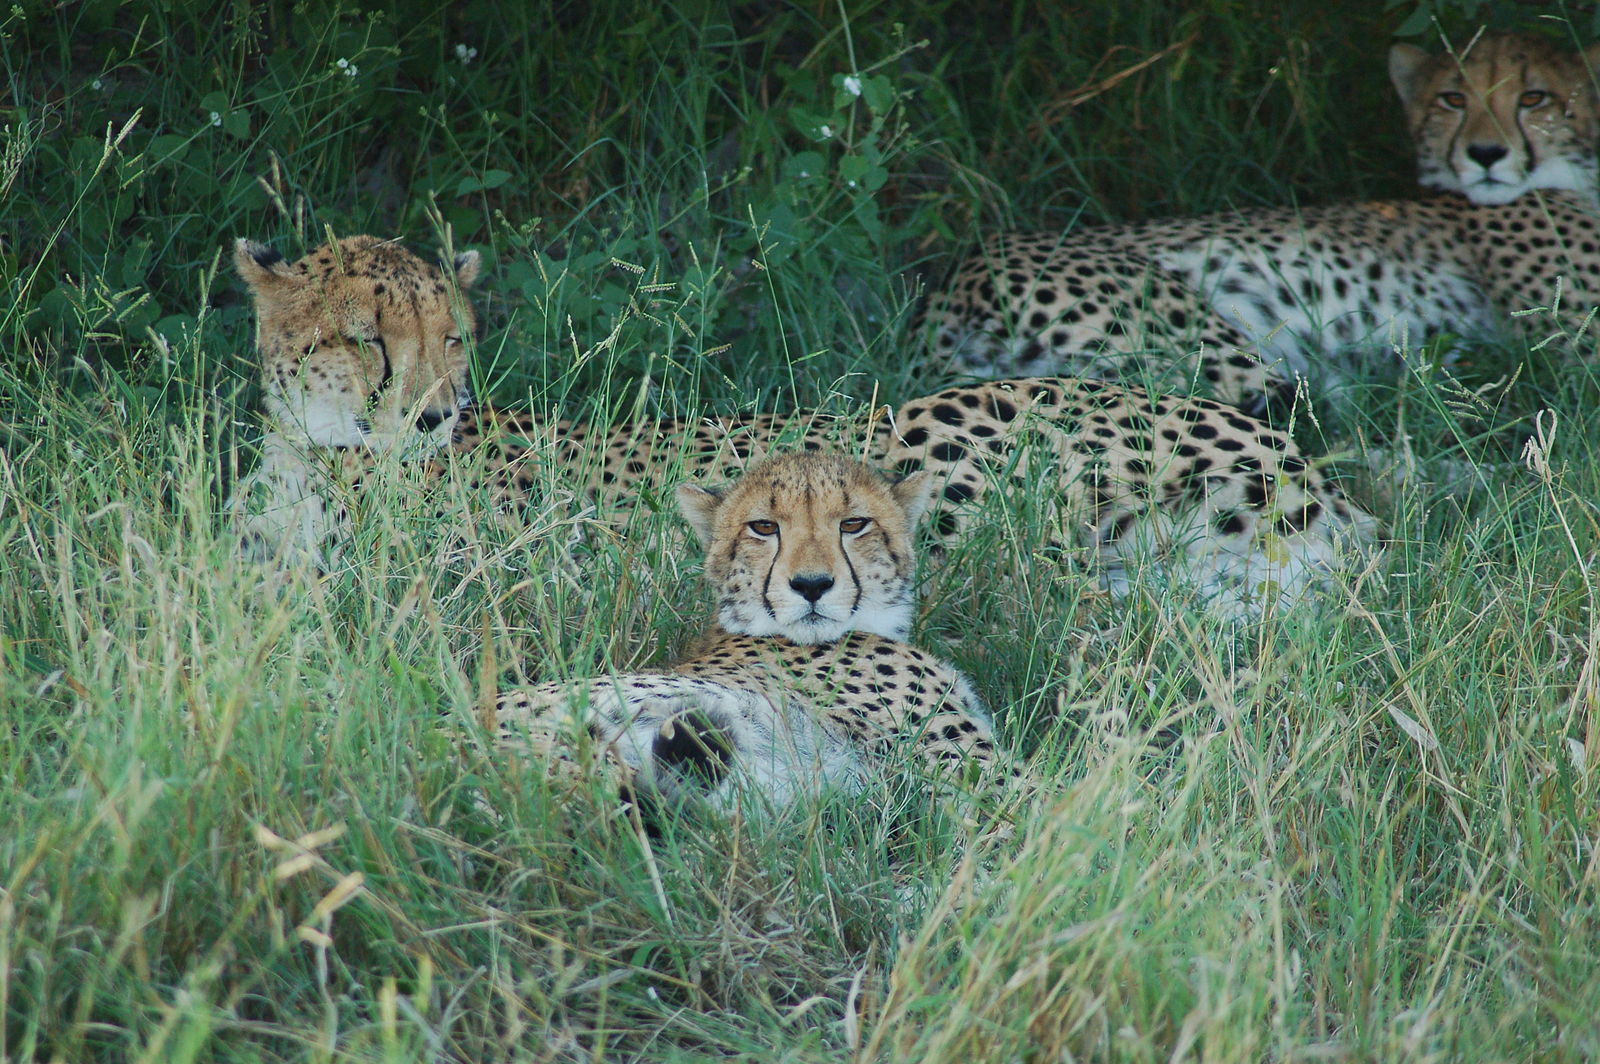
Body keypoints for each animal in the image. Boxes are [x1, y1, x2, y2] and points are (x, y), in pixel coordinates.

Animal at [921, 33, 1600, 406]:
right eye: (1452, 99)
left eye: (1534, 97)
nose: (1485, 154)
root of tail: (948, 290)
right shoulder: (1577, 345)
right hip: (1211, 340)